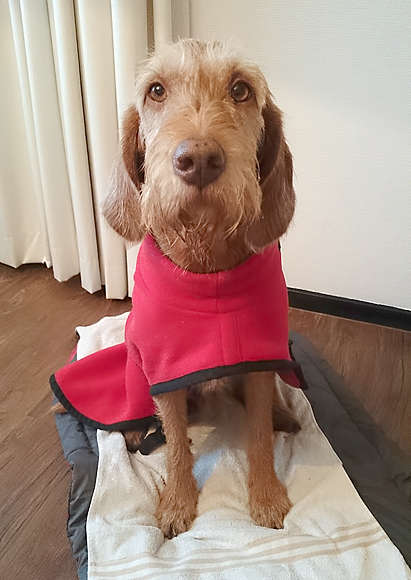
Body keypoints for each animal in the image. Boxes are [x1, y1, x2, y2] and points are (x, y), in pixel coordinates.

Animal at [102, 39, 299, 538]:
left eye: (241, 89)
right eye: (156, 90)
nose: (199, 160)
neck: (207, 265)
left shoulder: (258, 362)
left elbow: (258, 436)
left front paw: (266, 495)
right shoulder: (165, 372)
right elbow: (174, 443)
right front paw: (176, 501)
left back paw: (282, 413)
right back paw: (133, 428)